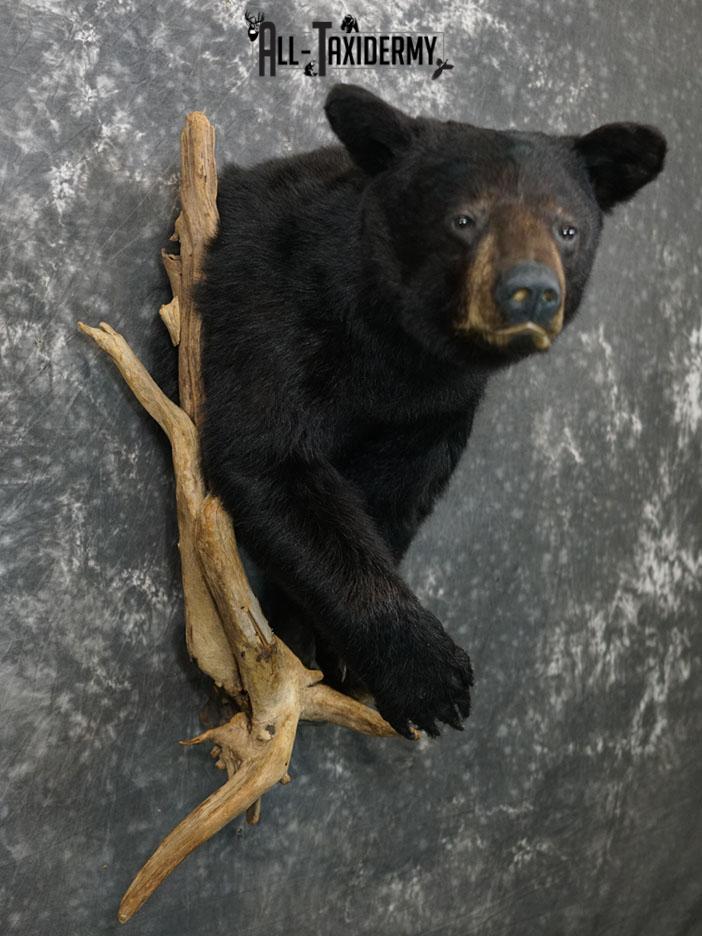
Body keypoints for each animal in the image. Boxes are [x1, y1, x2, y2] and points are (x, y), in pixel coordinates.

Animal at [196, 83, 666, 739]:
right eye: (464, 219)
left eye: (567, 229)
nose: (532, 292)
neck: (397, 353)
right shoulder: (272, 313)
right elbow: (269, 459)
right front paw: (427, 678)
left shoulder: (438, 409)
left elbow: (395, 497)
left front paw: (336, 653)